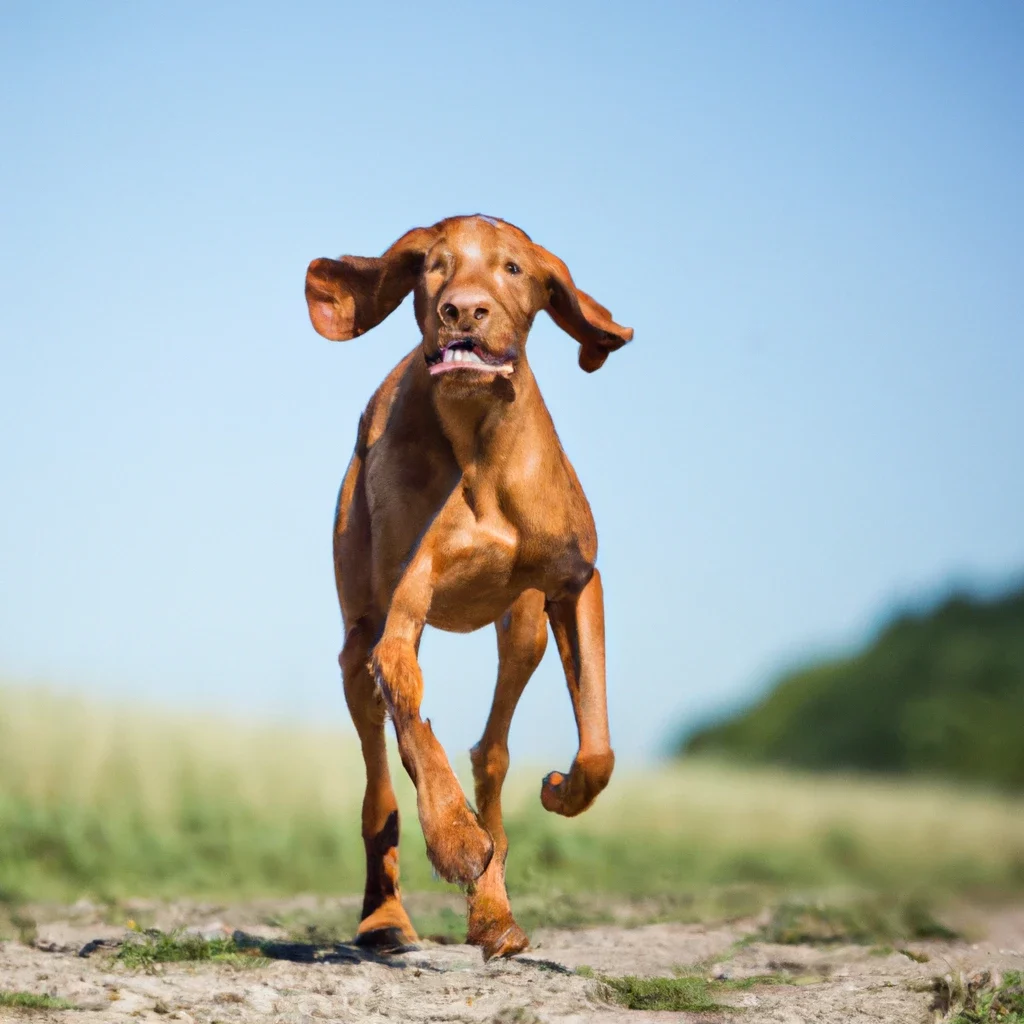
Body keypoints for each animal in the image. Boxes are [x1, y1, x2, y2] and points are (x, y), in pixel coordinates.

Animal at [305, 216, 630, 958]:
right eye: (434, 265)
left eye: (513, 268)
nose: (463, 310)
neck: (482, 445)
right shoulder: (401, 611)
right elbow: (410, 714)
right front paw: (454, 837)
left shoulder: (576, 584)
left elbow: (597, 747)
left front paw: (563, 792)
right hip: (355, 643)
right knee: (381, 788)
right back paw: (388, 916)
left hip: (526, 628)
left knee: (492, 752)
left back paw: (494, 909)